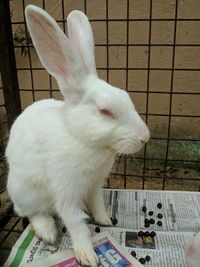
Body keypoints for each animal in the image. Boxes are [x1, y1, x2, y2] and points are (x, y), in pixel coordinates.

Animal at [5, 4, 150, 267]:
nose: (145, 136)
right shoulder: (66, 190)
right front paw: (87, 255)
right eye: (105, 111)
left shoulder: (94, 186)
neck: (82, 139)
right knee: (32, 213)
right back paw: (48, 232)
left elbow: (98, 204)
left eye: (126, 97)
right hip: (25, 192)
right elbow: (75, 223)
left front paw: (105, 221)